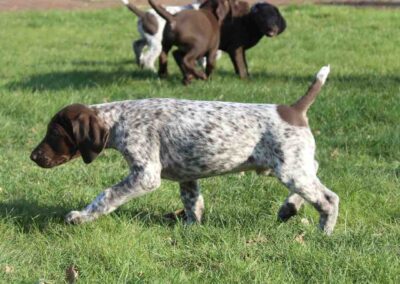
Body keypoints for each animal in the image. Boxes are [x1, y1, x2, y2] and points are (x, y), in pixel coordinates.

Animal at [30, 66, 338, 235]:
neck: (119, 119)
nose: (33, 156)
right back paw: (289, 208)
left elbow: (106, 196)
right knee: (315, 170)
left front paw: (80, 217)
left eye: (55, 134)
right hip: (288, 165)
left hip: (289, 168)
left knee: (328, 199)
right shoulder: (188, 176)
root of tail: (293, 110)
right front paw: (192, 229)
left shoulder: (145, 175)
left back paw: (323, 232)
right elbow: (193, 203)